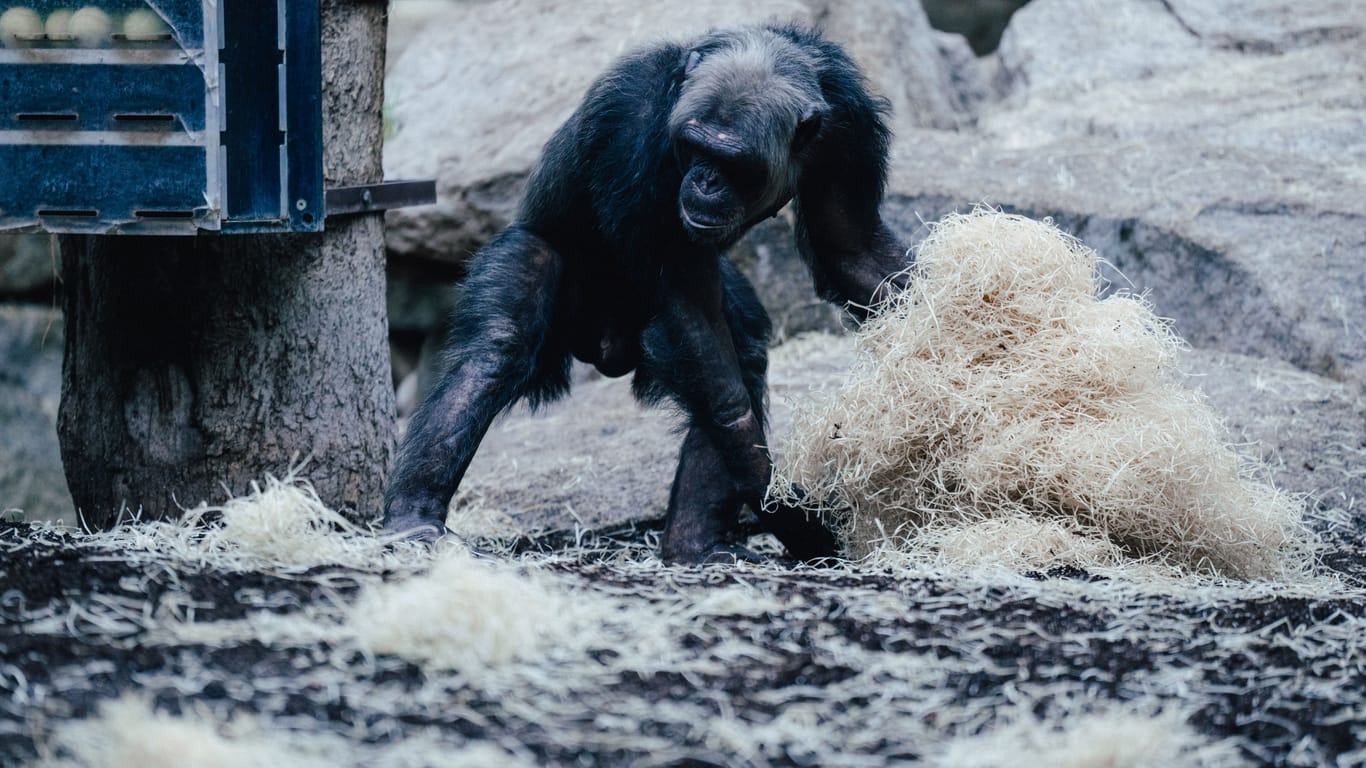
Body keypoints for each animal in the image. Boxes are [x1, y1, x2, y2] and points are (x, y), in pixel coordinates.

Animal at [387, 23, 907, 563]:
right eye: (697, 149)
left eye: (733, 162)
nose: (705, 181)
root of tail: (601, 346)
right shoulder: (631, 126)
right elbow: (688, 313)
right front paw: (780, 502)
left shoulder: (848, 121)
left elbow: (849, 247)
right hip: (534, 253)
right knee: (497, 345)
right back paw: (413, 517)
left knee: (740, 349)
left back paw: (691, 544)